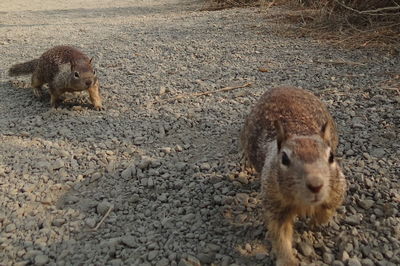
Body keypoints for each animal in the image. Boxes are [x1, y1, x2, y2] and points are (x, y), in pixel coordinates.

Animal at [241, 86, 346, 264]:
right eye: (284, 158)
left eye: (331, 156)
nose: (316, 185)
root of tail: (281, 87)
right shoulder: (274, 201)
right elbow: (280, 235)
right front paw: (288, 260)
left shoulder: (337, 187)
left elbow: (328, 209)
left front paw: (314, 222)